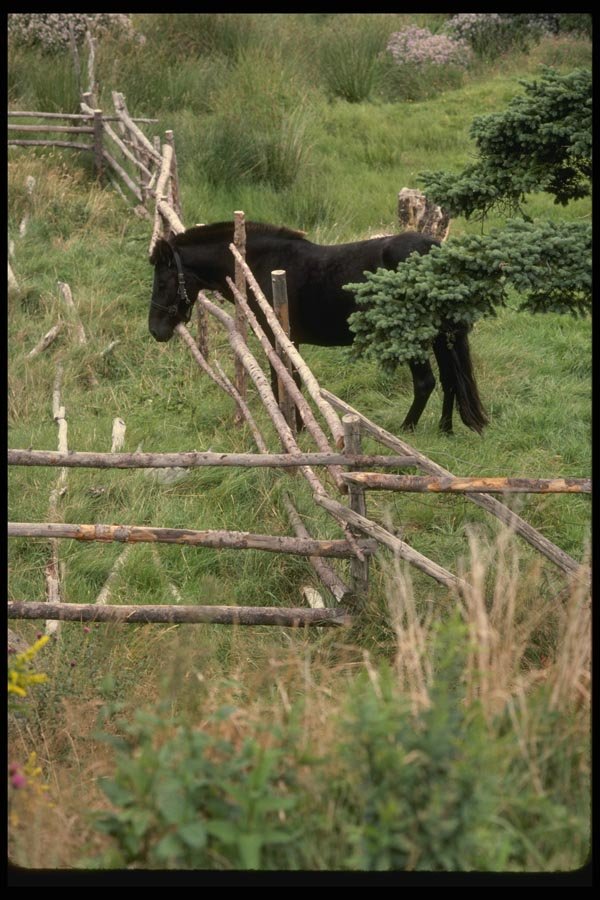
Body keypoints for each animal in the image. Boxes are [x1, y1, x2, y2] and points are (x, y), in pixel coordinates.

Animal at [149, 221, 488, 434]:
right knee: (450, 380)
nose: (155, 330)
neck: (258, 266)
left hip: (411, 337)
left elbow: (284, 381)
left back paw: (407, 431)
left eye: (163, 282)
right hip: (441, 336)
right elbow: (292, 381)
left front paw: (295, 430)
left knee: (426, 382)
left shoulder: (279, 337)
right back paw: (445, 429)